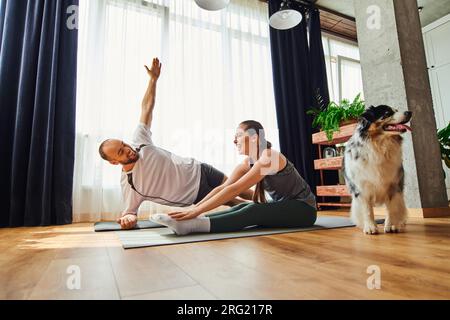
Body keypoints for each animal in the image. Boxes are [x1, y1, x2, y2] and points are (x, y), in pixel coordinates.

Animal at [342, 106, 414, 234]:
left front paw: (391, 225)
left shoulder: (393, 185)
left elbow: (392, 207)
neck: (379, 146)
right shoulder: (362, 188)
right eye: (387, 113)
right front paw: (370, 227)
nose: (409, 112)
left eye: (396, 110)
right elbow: (367, 210)